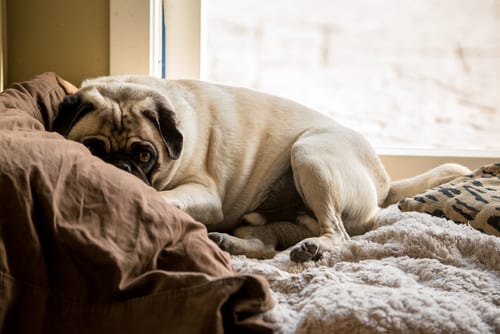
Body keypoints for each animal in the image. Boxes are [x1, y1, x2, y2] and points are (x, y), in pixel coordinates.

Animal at [51, 76, 468, 264]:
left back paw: (313, 247)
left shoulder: (206, 196)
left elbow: (166, 196)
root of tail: (383, 185)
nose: (120, 167)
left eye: (143, 156)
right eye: (92, 149)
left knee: (339, 234)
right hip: (272, 213)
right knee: (267, 245)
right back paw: (231, 243)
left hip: (309, 154)